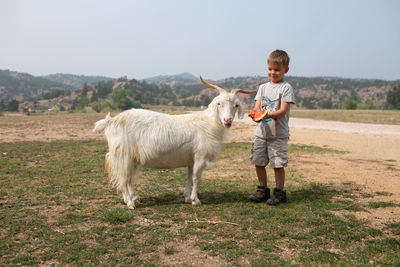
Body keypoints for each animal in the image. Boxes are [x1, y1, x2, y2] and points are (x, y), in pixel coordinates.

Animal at [94, 77, 255, 209]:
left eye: (235, 105)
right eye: (219, 104)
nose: (227, 121)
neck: (208, 123)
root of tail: (111, 121)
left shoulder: (191, 159)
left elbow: (189, 177)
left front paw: (187, 197)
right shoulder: (200, 156)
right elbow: (197, 178)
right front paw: (196, 200)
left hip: (131, 157)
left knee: (129, 179)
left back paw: (134, 197)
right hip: (122, 155)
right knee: (123, 179)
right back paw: (130, 203)